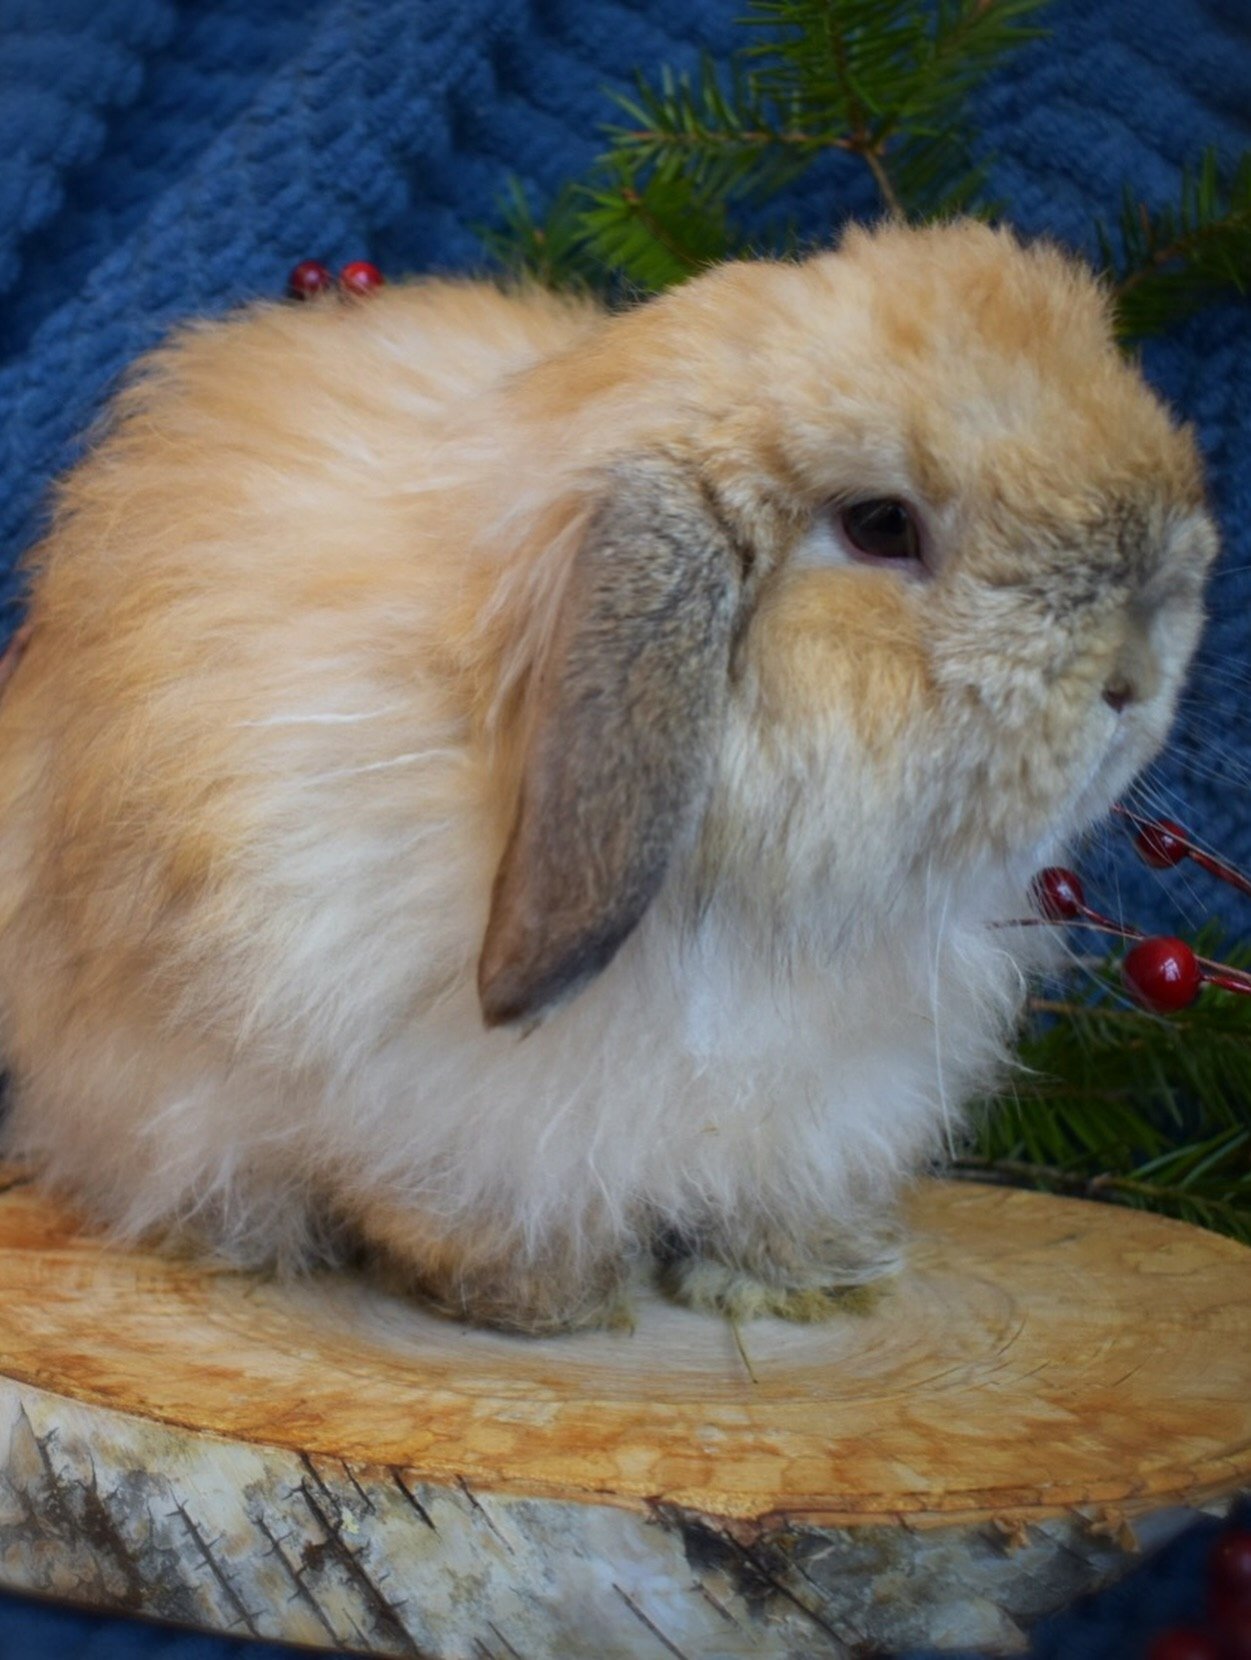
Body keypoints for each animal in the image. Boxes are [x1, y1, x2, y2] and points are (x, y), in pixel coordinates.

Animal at [0, 219, 1218, 1334]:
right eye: (880, 525)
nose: (1141, 669)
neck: (743, 906)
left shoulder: (826, 1108)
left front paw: (805, 1276)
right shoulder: (446, 1110)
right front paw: (546, 1295)